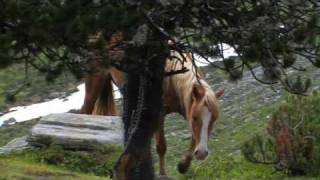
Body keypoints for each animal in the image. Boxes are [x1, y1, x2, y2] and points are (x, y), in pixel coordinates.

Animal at [81, 50, 224, 176]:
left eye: (214, 120)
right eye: (195, 118)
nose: (202, 153)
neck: (170, 75)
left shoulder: (187, 106)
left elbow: (194, 138)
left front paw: (183, 165)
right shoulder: (159, 114)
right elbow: (161, 146)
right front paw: (162, 174)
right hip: (94, 80)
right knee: (85, 111)